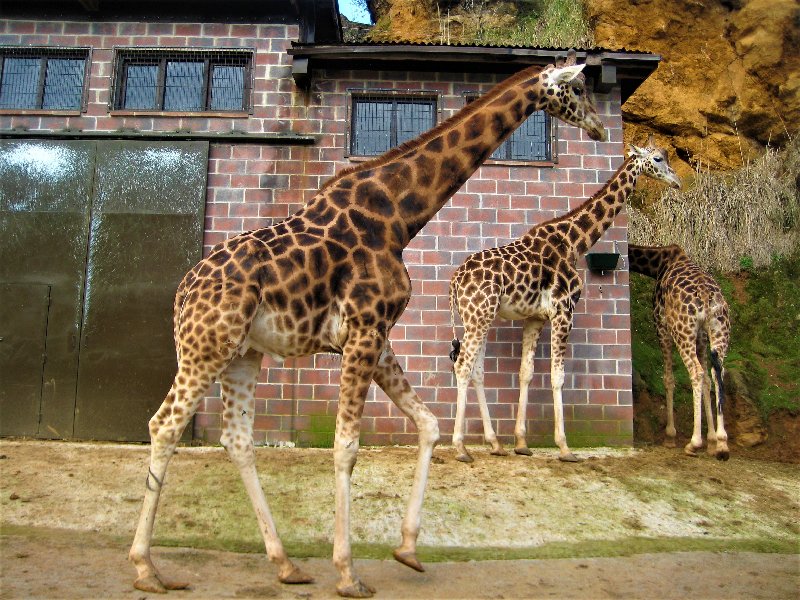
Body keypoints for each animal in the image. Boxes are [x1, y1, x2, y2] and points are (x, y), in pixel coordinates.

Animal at [130, 54, 608, 596]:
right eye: (578, 90)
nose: (600, 128)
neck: (399, 217)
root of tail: (182, 294)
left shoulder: (377, 337)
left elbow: (428, 425)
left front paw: (408, 550)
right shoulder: (363, 331)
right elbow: (346, 447)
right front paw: (348, 572)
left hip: (243, 354)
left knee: (237, 438)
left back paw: (285, 563)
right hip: (206, 347)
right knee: (165, 425)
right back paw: (147, 568)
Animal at [446, 137, 680, 464]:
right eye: (658, 159)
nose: (677, 181)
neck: (573, 243)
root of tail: (455, 282)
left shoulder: (535, 318)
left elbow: (526, 373)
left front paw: (521, 442)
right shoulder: (563, 311)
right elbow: (557, 376)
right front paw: (565, 447)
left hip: (479, 317)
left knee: (476, 370)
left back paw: (495, 443)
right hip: (478, 316)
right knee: (463, 366)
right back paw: (460, 447)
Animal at [632, 244, 732, 460]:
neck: (659, 263)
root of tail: (705, 296)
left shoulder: (661, 326)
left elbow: (668, 379)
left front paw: (670, 436)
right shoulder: (702, 337)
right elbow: (707, 381)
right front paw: (712, 441)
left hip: (682, 331)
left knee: (695, 371)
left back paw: (693, 443)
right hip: (719, 332)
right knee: (716, 372)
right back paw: (722, 444)